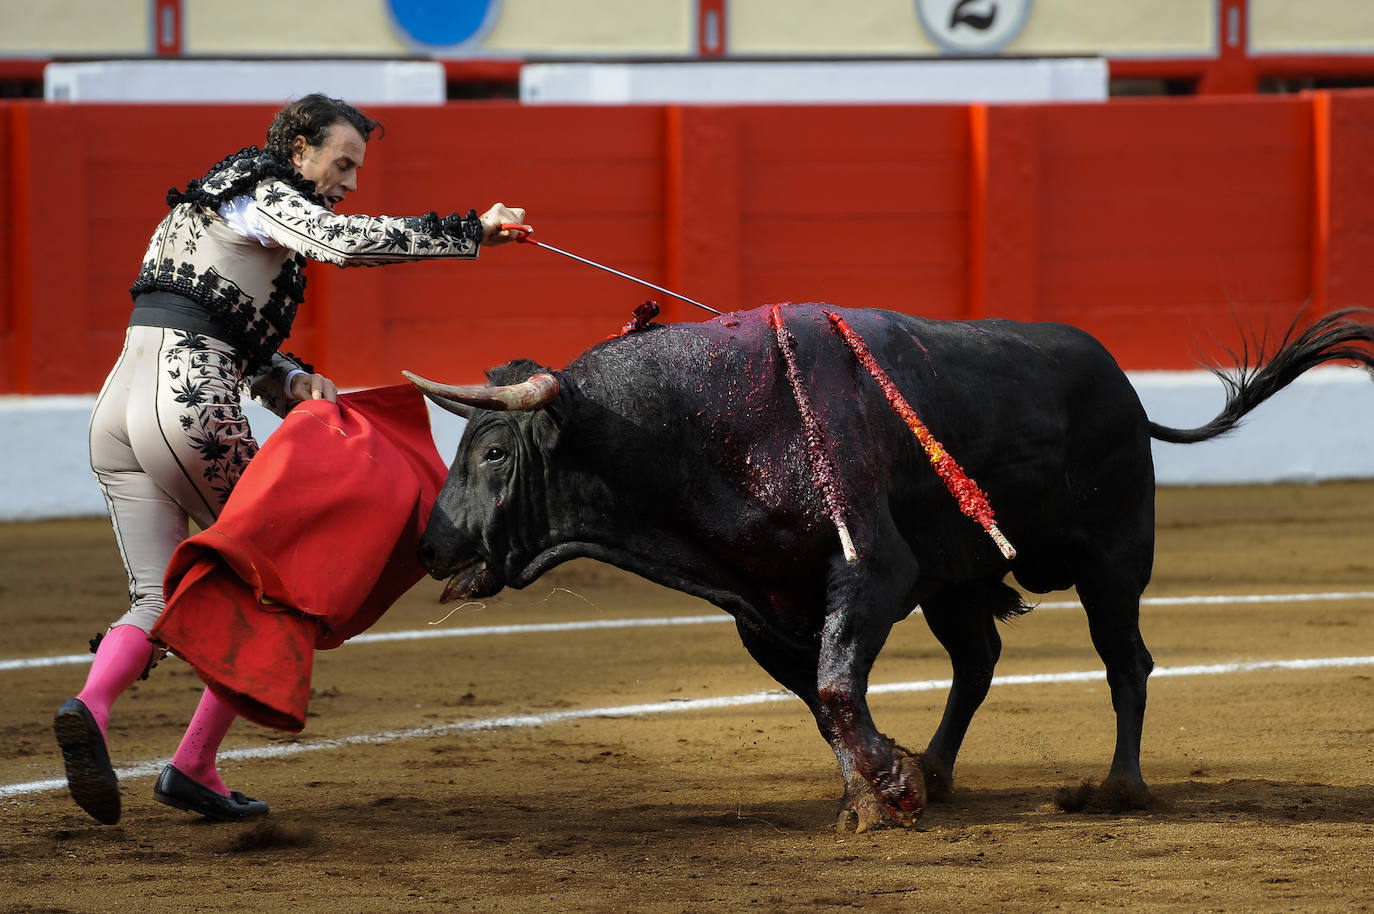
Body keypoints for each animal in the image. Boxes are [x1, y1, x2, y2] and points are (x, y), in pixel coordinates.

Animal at [401, 302, 1368, 830]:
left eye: (494, 451)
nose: (431, 545)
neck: (710, 427)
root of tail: (1125, 388)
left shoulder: (872, 574)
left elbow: (836, 689)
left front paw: (890, 788)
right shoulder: (767, 611)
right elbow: (827, 701)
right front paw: (874, 796)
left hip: (1112, 562)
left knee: (1125, 660)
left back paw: (1119, 788)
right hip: (959, 581)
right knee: (978, 661)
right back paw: (938, 770)